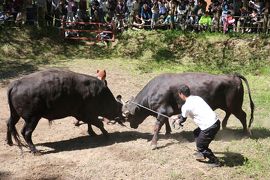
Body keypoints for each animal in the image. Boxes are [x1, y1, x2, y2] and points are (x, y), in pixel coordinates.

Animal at [123, 72, 255, 148]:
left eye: (129, 116)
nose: (132, 126)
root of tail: (233, 75)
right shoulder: (164, 112)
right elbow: (165, 121)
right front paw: (168, 131)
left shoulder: (164, 110)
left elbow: (157, 126)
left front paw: (153, 143)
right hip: (227, 104)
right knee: (229, 113)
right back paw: (225, 125)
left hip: (234, 104)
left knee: (242, 115)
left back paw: (245, 133)